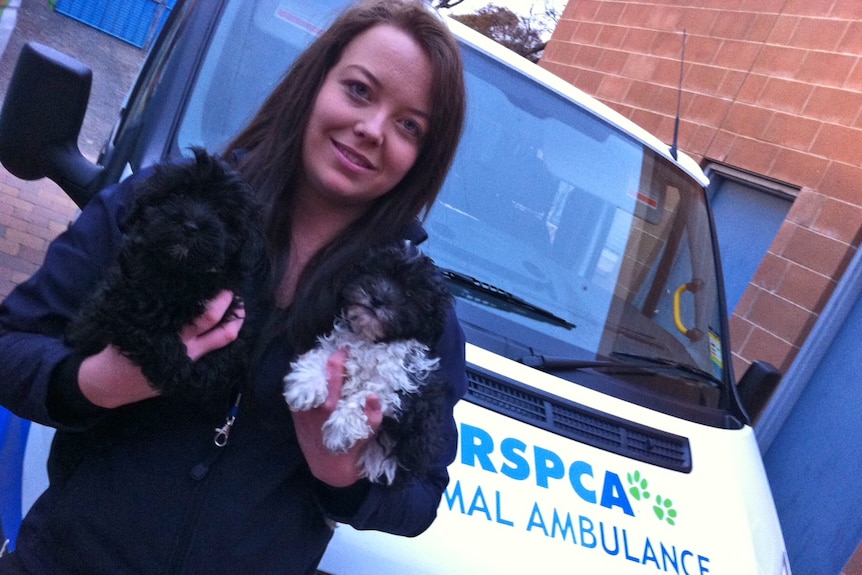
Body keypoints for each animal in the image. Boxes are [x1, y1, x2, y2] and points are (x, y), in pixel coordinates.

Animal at [67, 150, 264, 404]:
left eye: (222, 213)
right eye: (180, 194)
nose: (190, 226)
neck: (180, 273)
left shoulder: (231, 300)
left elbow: (235, 343)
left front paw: (208, 372)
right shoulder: (117, 302)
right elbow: (148, 331)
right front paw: (177, 367)